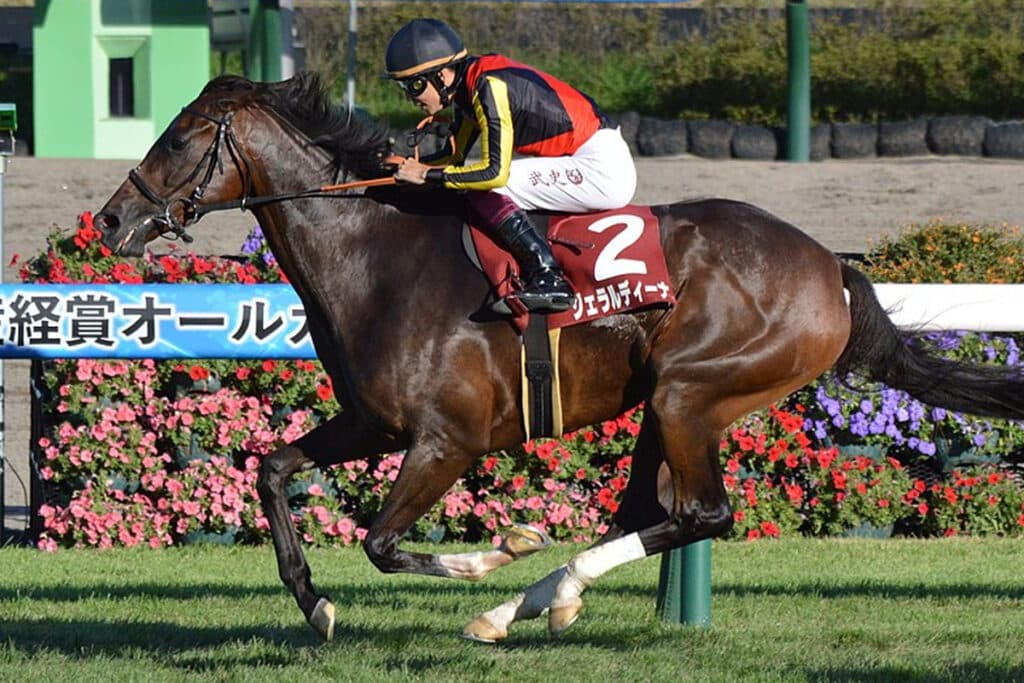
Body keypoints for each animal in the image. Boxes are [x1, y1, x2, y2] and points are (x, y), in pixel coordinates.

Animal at [93, 73, 1024, 643]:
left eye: (177, 138)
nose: (109, 220)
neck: (375, 254)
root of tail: (831, 266)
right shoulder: (372, 422)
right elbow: (271, 469)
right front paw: (314, 603)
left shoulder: (449, 439)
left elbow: (384, 541)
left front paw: (494, 550)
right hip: (668, 399)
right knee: (652, 511)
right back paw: (531, 604)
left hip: (694, 393)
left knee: (703, 512)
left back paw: (528, 594)